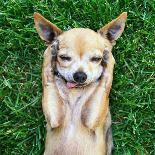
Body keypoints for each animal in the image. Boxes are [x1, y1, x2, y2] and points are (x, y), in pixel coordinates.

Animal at [33, 12, 126, 155]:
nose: (80, 75)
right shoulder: (54, 119)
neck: (75, 92)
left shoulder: (91, 121)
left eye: (96, 59)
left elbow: (105, 82)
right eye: (64, 58)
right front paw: (51, 49)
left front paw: (108, 57)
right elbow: (48, 77)